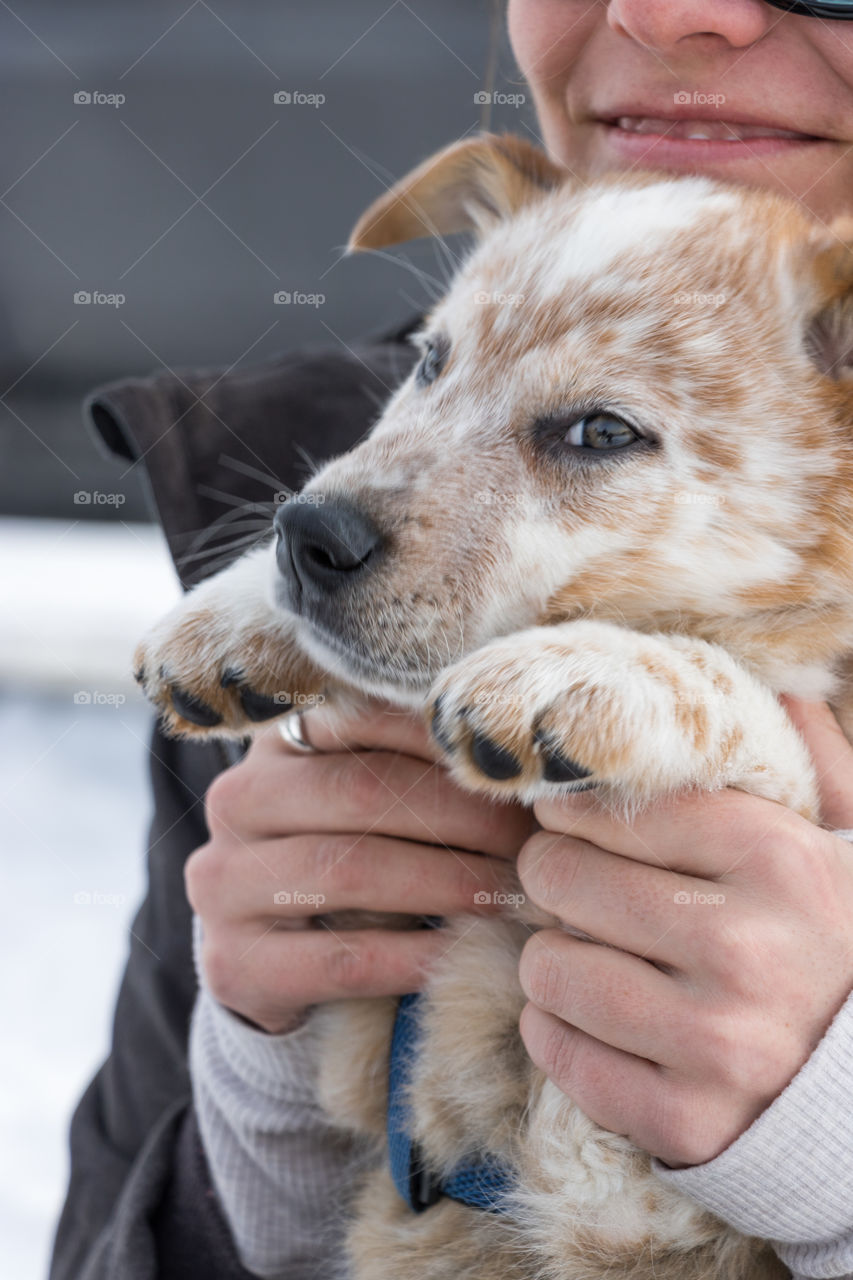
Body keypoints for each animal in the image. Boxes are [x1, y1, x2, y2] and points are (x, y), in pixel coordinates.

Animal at [134, 135, 850, 1274]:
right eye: (431, 361)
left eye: (601, 431)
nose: (308, 534)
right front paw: (234, 616)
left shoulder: (623, 1186)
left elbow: (750, 703)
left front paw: (587, 670)